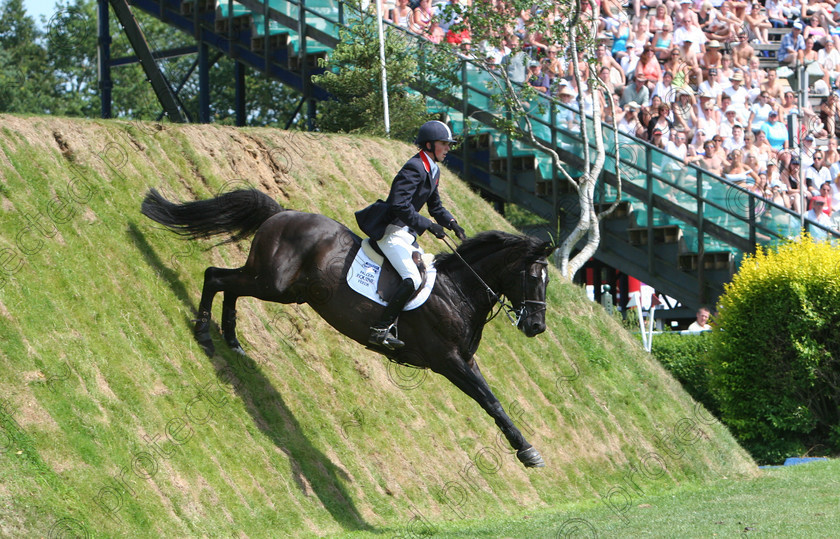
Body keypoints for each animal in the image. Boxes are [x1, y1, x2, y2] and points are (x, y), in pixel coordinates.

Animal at [141, 190, 556, 468]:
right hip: (272, 283)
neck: (458, 290)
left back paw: (232, 340)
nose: (536, 326)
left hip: (281, 289)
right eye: (533, 276)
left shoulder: (466, 361)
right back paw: (205, 335)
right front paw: (528, 453)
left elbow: (493, 400)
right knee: (216, 277)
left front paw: (526, 448)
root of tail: (283, 213)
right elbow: (490, 401)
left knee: (230, 286)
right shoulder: (448, 361)